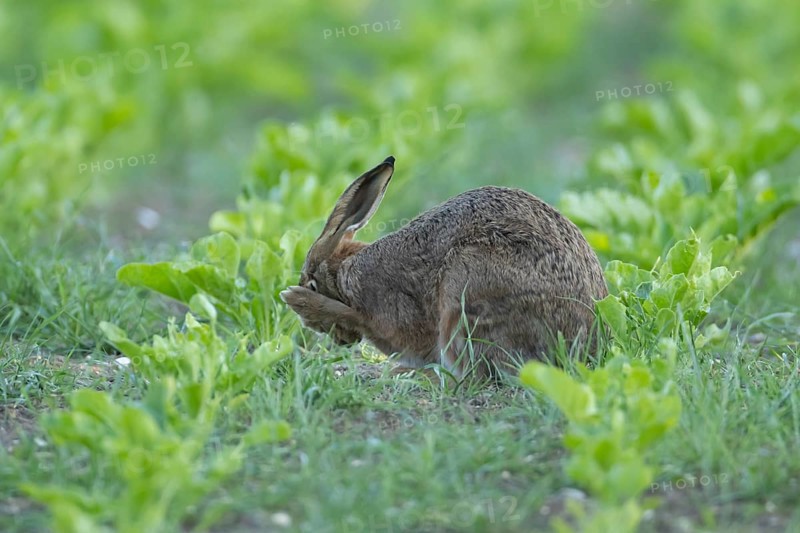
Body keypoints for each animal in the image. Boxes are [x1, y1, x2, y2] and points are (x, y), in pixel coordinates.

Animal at [280, 156, 608, 379]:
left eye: (313, 283)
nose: (340, 341)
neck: (345, 271)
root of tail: (585, 346)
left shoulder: (387, 311)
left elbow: (360, 317)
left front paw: (299, 300)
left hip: (464, 289)